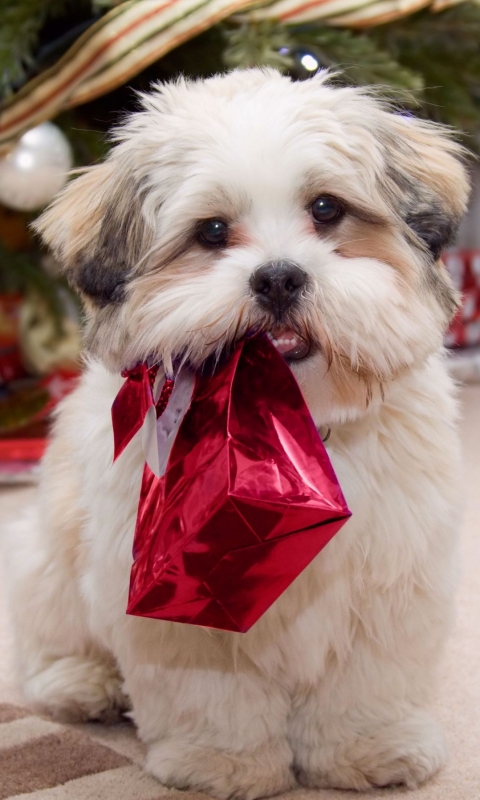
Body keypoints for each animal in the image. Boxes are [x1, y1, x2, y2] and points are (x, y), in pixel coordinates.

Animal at [1, 70, 470, 800]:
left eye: (327, 209)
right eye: (212, 231)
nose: (277, 276)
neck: (285, 430)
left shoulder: (391, 580)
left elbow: (367, 683)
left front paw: (367, 747)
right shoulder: (174, 594)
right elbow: (211, 694)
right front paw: (222, 762)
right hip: (47, 553)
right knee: (48, 635)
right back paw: (82, 682)